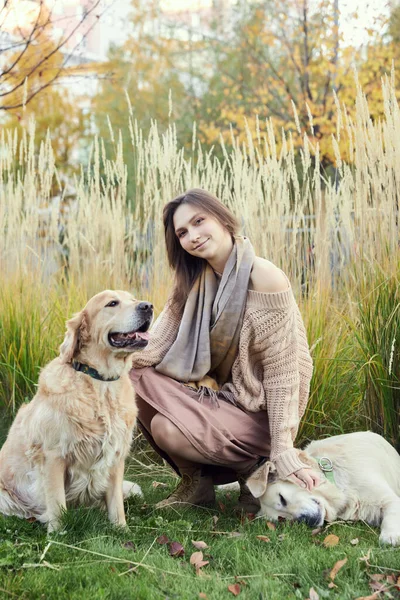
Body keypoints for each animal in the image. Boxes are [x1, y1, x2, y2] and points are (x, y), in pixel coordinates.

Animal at [0, 290, 153, 528]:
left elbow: (116, 504)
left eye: (134, 299)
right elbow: (57, 503)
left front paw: (122, 529)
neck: (101, 383)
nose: (148, 306)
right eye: (112, 303)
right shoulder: (53, 456)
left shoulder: (116, 457)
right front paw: (58, 531)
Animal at [247, 434, 400, 548]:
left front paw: (390, 535)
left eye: (282, 498)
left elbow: (391, 515)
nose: (307, 521)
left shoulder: (389, 499)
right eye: (282, 519)